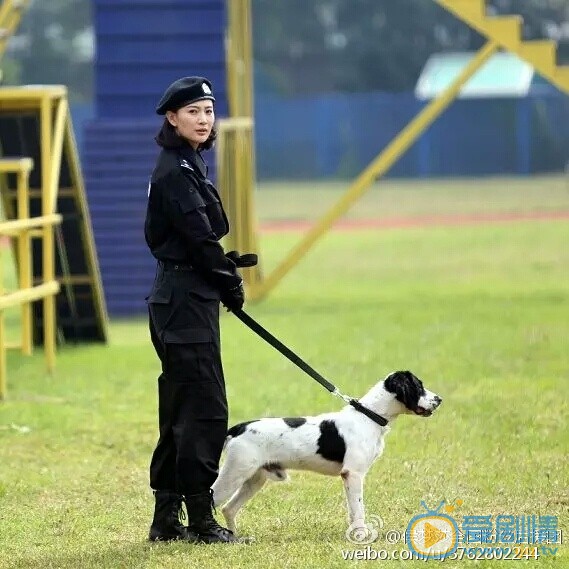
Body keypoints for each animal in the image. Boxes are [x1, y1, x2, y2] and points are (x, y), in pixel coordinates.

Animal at [211, 370, 442, 536]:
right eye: (418, 386)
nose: (439, 399)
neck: (369, 416)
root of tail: (237, 429)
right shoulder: (353, 474)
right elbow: (359, 509)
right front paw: (361, 534)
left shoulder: (349, 477)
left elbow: (352, 510)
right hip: (234, 473)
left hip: (255, 479)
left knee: (229, 508)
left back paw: (236, 537)